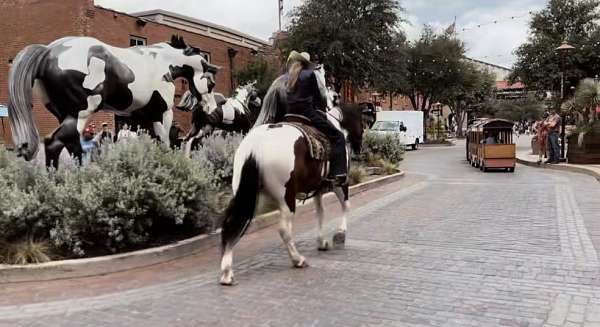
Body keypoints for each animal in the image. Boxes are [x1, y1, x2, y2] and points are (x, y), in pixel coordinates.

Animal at [219, 67, 364, 288]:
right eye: (362, 124)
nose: (359, 146)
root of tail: (256, 146)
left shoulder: (318, 188)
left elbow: (320, 213)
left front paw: (322, 241)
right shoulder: (340, 182)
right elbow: (345, 205)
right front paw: (340, 234)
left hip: (250, 195)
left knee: (233, 222)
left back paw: (227, 272)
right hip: (285, 197)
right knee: (283, 229)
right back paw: (298, 259)